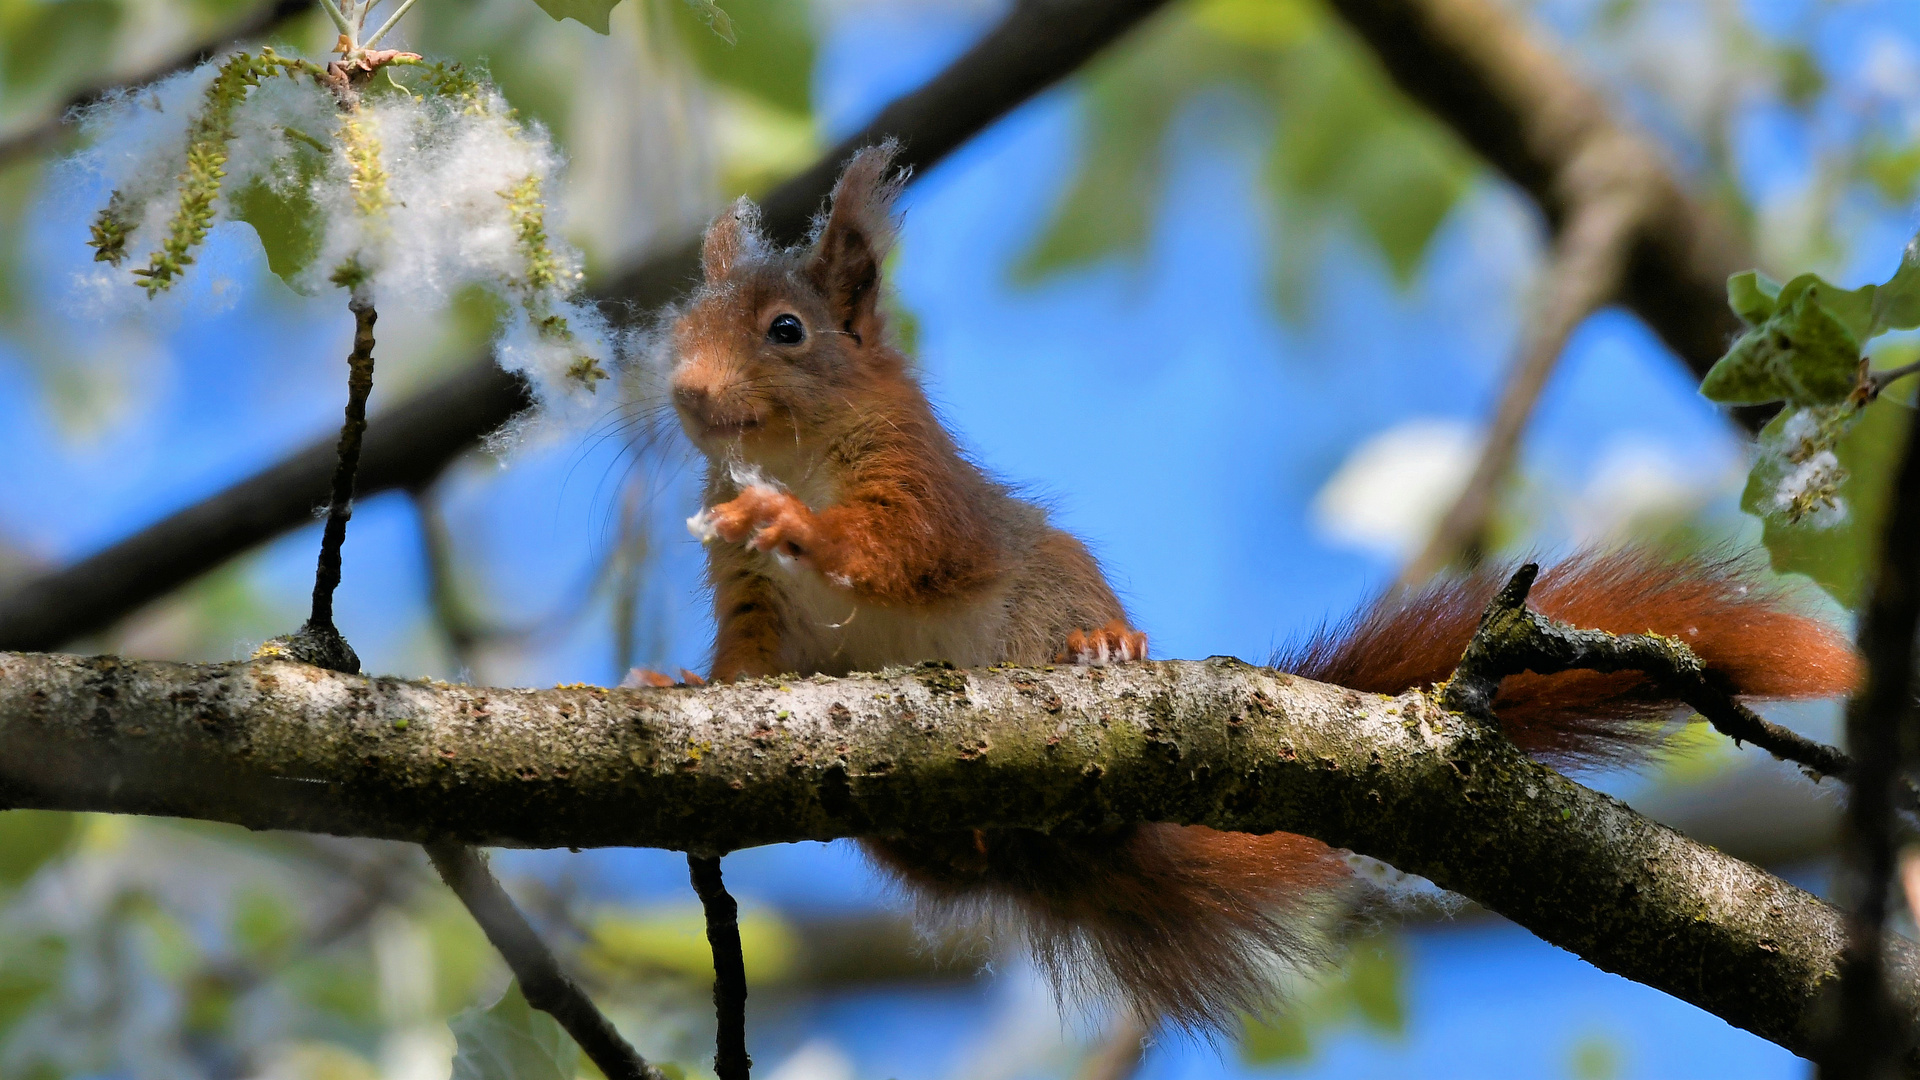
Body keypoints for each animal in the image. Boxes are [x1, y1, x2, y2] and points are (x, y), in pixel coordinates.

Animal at [660, 141, 1858, 1022]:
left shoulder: (924, 488)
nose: (684, 391)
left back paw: (1103, 650)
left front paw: (795, 524)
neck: (800, 454)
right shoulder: (748, 596)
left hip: (1047, 594)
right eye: (679, 329)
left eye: (786, 331)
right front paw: (683, 682)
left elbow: (899, 546)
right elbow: (750, 654)